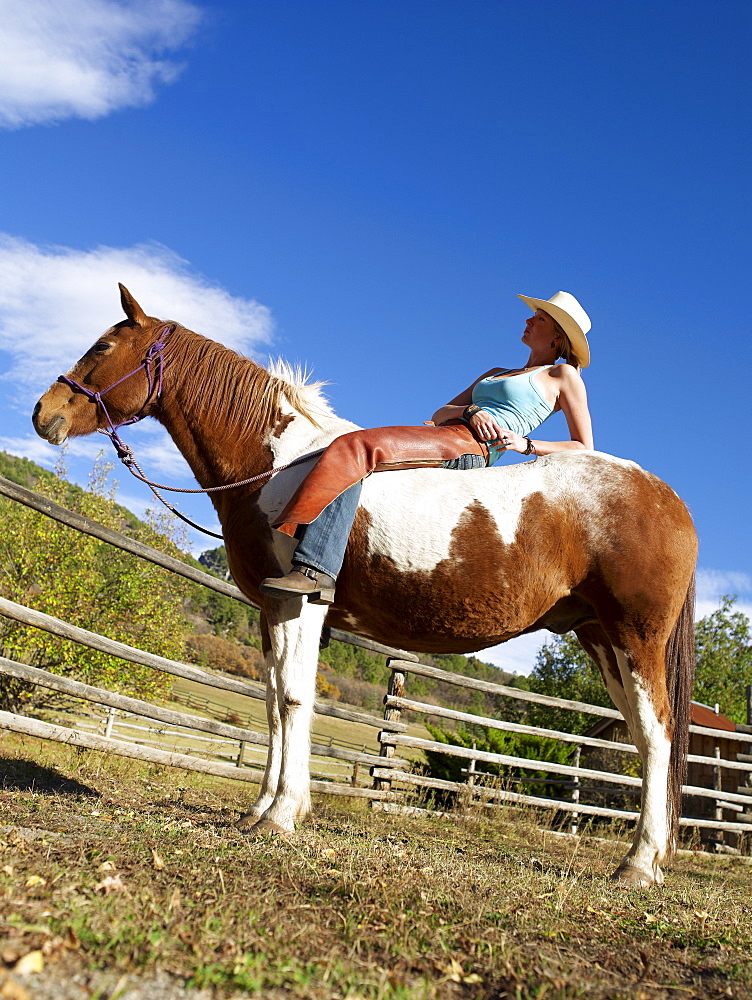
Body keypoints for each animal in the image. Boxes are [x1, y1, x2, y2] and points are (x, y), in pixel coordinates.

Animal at [32, 286, 696, 888]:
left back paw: (638, 865)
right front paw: (261, 809)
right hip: (600, 639)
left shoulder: (299, 603)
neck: (278, 465)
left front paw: (281, 816)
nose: (43, 413)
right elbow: (272, 704)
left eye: (103, 345)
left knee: (659, 736)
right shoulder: (272, 608)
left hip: (635, 638)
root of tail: (667, 499)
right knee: (645, 743)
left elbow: (295, 699)